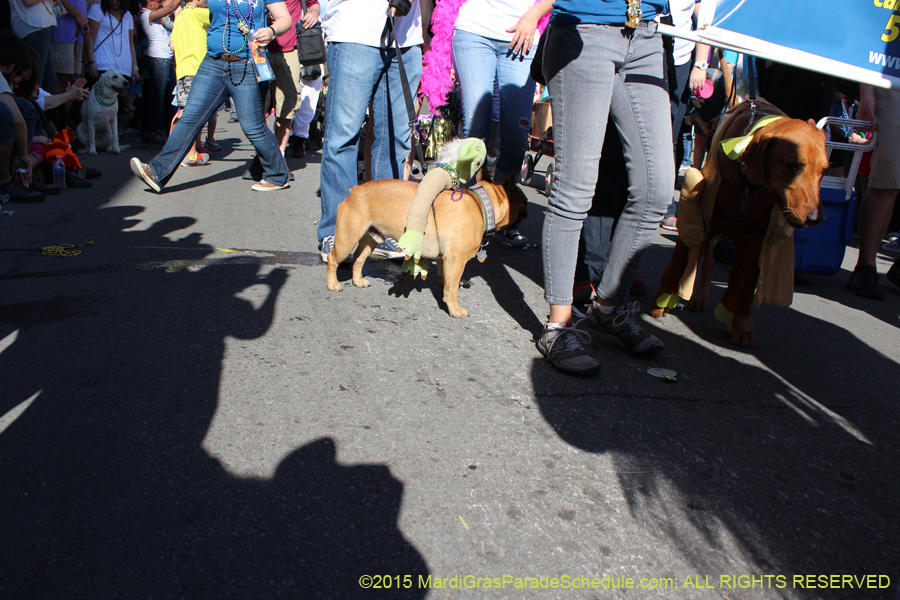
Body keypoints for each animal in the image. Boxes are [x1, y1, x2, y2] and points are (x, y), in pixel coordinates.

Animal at [326, 175, 528, 318]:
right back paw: (332, 284)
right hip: (347, 238)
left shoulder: (445, 259)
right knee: (333, 259)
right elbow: (453, 288)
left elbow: (446, 280)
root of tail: (355, 190)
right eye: (524, 203)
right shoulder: (457, 259)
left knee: (359, 259)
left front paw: (443, 290)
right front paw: (454, 309)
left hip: (370, 238)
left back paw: (358, 280)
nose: (526, 213)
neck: (483, 206)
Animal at [652, 99, 828, 346]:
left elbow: (744, 286)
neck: (748, 185)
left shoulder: (754, 239)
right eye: (793, 166)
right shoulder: (701, 219)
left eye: (824, 171)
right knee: (708, 264)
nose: (817, 219)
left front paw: (742, 327)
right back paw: (697, 297)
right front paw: (663, 301)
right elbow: (681, 261)